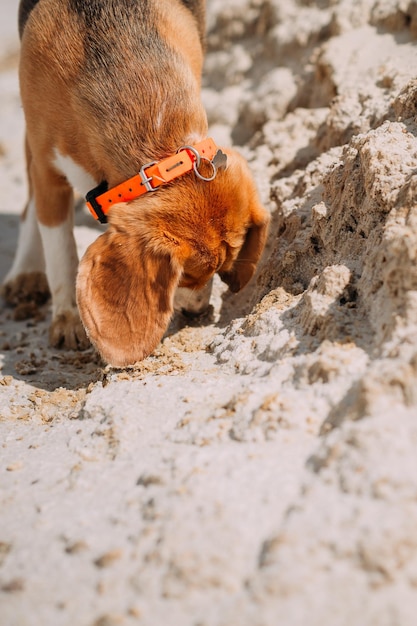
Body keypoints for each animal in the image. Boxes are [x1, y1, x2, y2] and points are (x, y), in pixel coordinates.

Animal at [2, 0, 270, 368]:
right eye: (185, 275)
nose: (200, 313)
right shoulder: (47, 168)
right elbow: (60, 249)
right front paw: (67, 317)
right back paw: (26, 271)